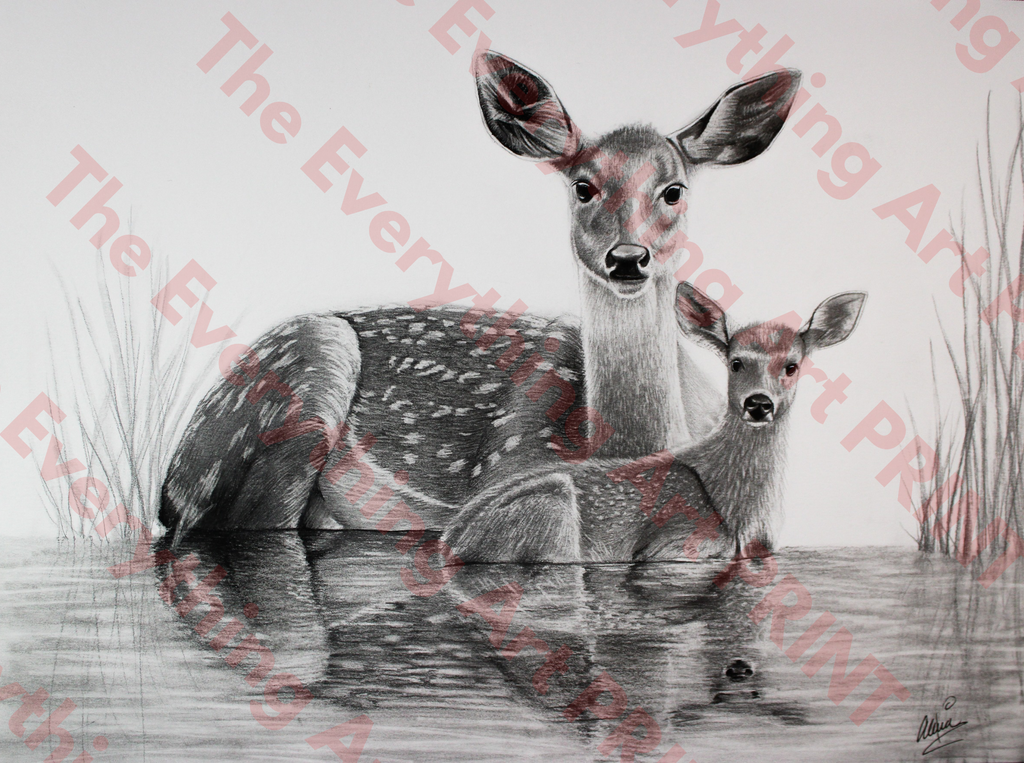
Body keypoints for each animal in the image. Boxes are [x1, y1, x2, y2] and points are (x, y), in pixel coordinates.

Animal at [159, 52, 802, 539]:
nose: (627, 258)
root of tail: (169, 482)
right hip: (298, 390)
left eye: (674, 190)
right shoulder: (508, 470)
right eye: (583, 186)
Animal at [441, 282, 866, 563]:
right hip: (551, 515)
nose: (758, 404)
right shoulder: (676, 545)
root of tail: (449, 542)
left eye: (792, 365)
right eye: (735, 362)